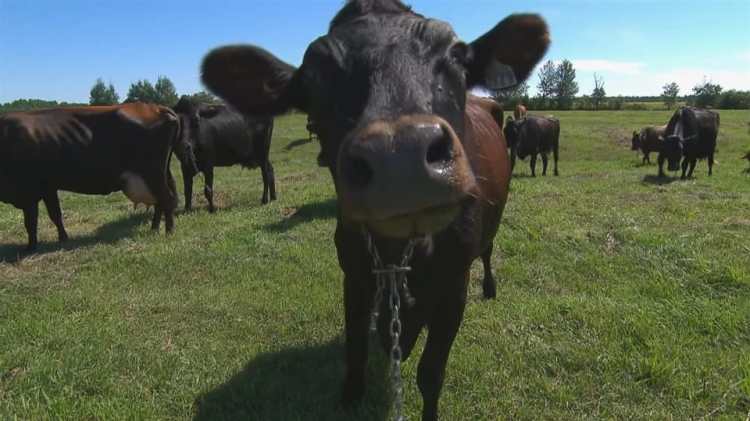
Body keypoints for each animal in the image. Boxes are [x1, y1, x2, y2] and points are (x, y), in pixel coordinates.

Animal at [0, 103, 181, 252]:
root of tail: (157, 107)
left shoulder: (28, 191)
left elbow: (31, 222)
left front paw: (30, 248)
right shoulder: (48, 188)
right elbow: (55, 214)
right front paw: (63, 239)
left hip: (152, 174)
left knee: (166, 199)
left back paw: (169, 232)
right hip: (158, 175)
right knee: (161, 201)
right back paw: (154, 229)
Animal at [199, 1, 549, 419]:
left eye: (456, 57)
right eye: (314, 78)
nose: (399, 156)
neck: (401, 252)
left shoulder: (454, 286)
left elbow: (431, 374)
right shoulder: (354, 275)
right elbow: (355, 357)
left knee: (489, 251)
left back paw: (491, 287)